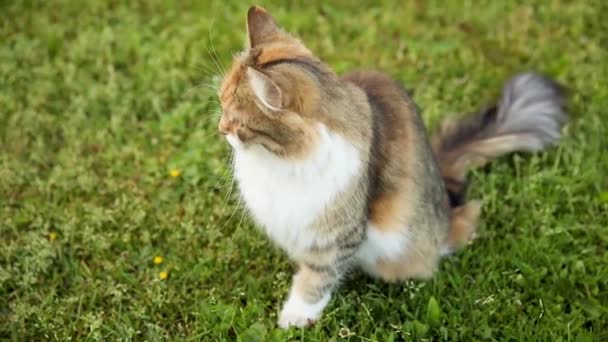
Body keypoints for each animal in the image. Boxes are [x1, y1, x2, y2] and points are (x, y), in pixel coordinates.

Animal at [216, 4, 568, 328]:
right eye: (220, 104)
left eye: (238, 121)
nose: (220, 128)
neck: (281, 158)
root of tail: (446, 205)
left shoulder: (337, 233)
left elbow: (317, 278)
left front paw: (296, 316)